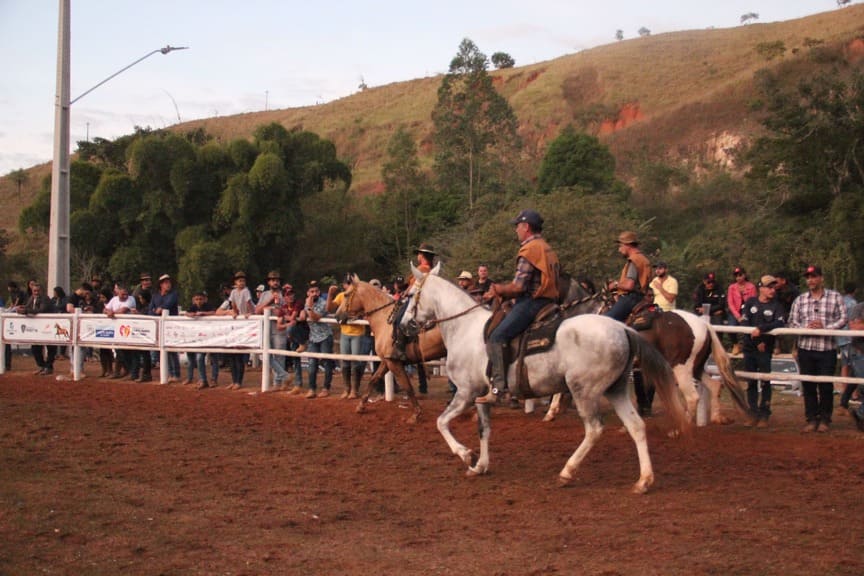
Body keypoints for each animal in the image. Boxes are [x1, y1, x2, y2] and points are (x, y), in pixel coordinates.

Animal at [400, 262, 690, 494]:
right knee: (636, 426)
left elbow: (441, 423)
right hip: (616, 390)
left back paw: (567, 472)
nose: (403, 326)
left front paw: (464, 454)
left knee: (594, 429)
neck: (465, 328)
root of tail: (623, 328)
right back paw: (644, 481)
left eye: (411, 295)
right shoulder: (482, 396)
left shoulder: (465, 392)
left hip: (584, 391)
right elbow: (484, 430)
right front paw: (479, 465)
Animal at [543, 309, 748, 425]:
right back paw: (717, 417)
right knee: (715, 386)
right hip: (695, 368)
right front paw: (553, 412)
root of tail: (703, 324)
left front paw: (552, 412)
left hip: (680, 368)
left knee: (692, 397)